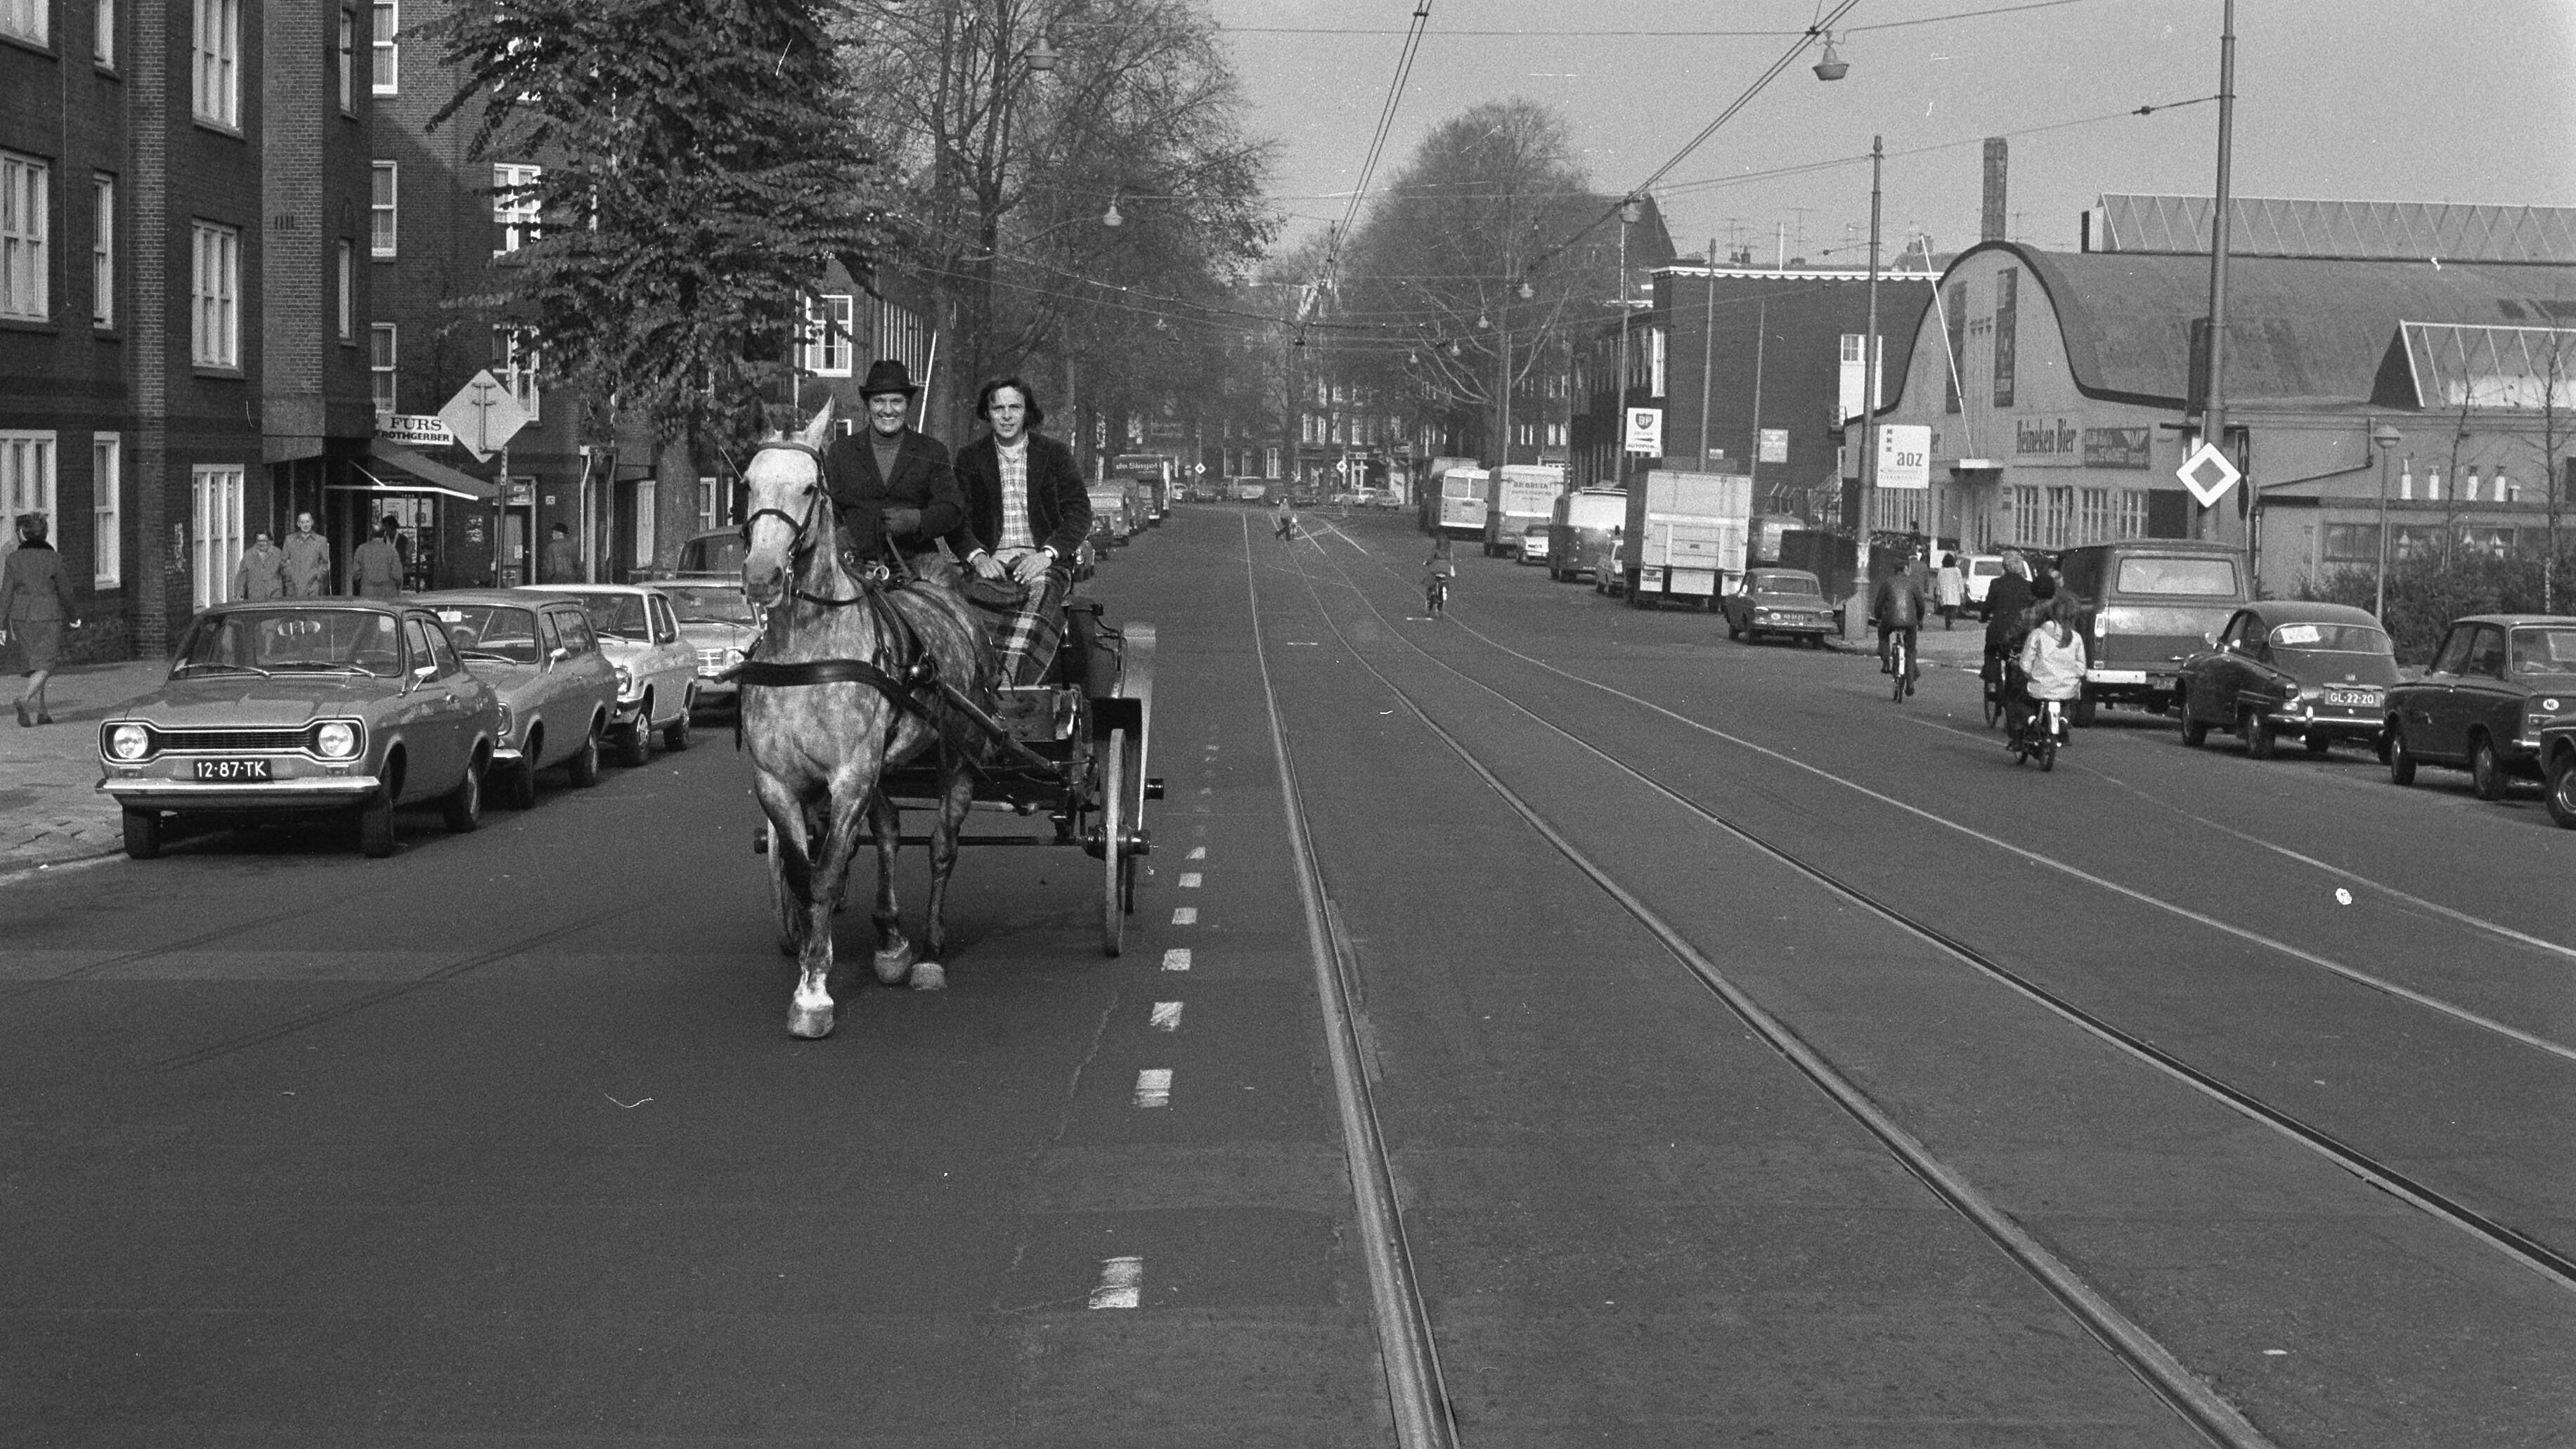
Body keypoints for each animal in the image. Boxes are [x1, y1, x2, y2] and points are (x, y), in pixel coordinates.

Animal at [746, 401, 994, 1039]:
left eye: (809, 487)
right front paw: (815, 962)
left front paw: (813, 996)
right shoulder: (777, 782)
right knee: (887, 831)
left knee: (941, 846)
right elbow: (806, 875)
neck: (807, 649)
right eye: (748, 484)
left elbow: (829, 872)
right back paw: (890, 939)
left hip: (959, 754)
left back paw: (928, 951)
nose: (761, 576)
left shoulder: (850, 775)